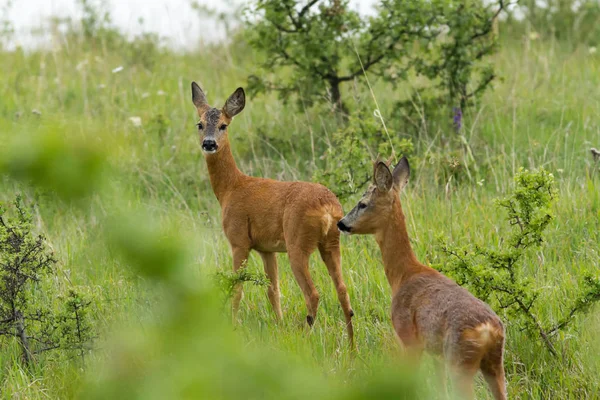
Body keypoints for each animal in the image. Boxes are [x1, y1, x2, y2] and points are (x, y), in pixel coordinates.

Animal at [190, 83, 354, 346]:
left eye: (224, 125)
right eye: (200, 123)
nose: (209, 144)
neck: (230, 188)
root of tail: (328, 208)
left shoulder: (239, 240)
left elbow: (237, 288)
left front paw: (233, 326)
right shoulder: (267, 249)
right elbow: (273, 290)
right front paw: (279, 325)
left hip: (298, 244)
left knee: (313, 294)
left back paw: (304, 337)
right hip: (331, 243)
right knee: (343, 291)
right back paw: (351, 347)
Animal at [338, 157, 506, 400]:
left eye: (363, 203)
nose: (341, 223)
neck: (404, 274)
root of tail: (489, 331)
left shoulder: (409, 339)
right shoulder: (435, 355)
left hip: (460, 361)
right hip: (494, 364)